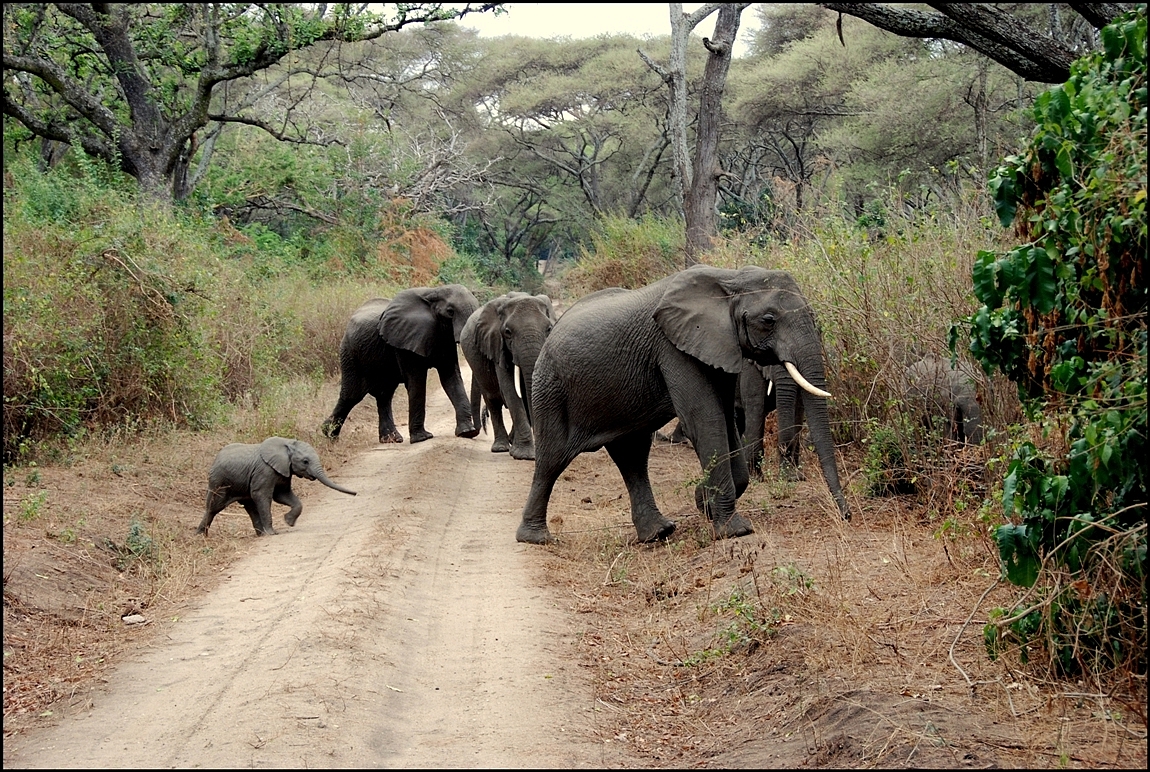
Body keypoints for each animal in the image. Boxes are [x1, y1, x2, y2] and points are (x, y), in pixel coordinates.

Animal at [197, 434, 356, 538]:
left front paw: (288, 522)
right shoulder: (265, 471)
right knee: (214, 507)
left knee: (249, 506)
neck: (287, 444)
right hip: (219, 481)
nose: (355, 494)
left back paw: (261, 535)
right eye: (305, 461)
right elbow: (262, 495)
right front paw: (274, 533)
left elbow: (282, 495)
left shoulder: (284, 471)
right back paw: (200, 536)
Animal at [322, 284, 483, 444]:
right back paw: (328, 434)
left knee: (384, 395)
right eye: (450, 312)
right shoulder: (404, 342)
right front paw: (422, 438)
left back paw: (392, 439)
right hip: (349, 353)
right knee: (352, 394)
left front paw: (467, 432)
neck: (433, 293)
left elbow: (451, 377)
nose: (477, 429)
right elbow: (417, 381)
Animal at [457, 289, 556, 460]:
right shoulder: (496, 344)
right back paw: (501, 447)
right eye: (508, 332)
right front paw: (525, 455)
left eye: (549, 329)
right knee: (492, 400)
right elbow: (510, 390)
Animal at [517, 266, 851, 549]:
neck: (730, 279)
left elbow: (724, 420)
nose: (846, 515)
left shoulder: (719, 348)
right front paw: (735, 530)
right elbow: (705, 420)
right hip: (550, 387)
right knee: (553, 459)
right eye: (768, 320)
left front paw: (704, 502)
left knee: (632, 456)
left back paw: (658, 533)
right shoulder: (673, 348)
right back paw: (535, 538)